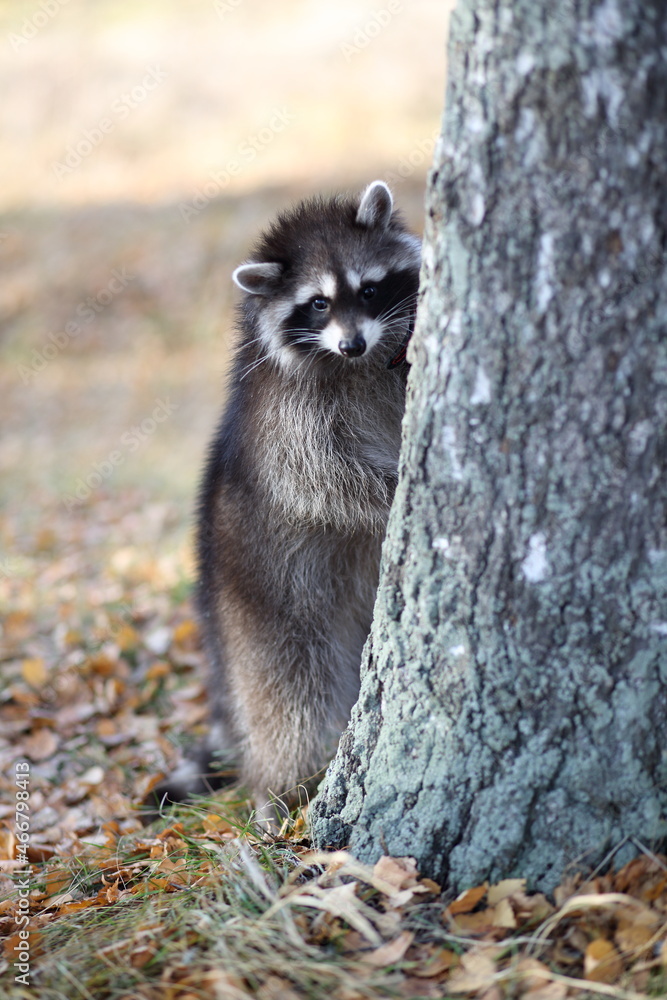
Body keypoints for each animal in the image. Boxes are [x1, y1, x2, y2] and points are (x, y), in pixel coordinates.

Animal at [153, 181, 420, 826]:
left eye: (368, 289)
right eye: (317, 303)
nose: (352, 343)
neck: (356, 364)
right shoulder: (286, 415)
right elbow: (322, 478)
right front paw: (390, 491)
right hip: (267, 612)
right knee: (293, 707)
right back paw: (280, 792)